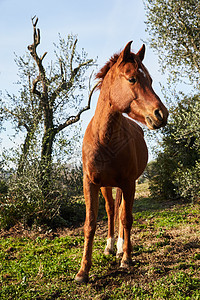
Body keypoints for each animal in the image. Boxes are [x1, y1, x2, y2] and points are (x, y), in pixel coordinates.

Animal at [75, 41, 169, 282]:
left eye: (150, 80)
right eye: (132, 79)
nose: (161, 114)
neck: (104, 139)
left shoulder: (128, 183)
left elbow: (126, 218)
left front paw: (126, 258)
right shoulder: (90, 183)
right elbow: (90, 223)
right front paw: (83, 271)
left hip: (124, 185)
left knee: (120, 212)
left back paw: (119, 248)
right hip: (107, 186)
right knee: (111, 210)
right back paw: (110, 246)